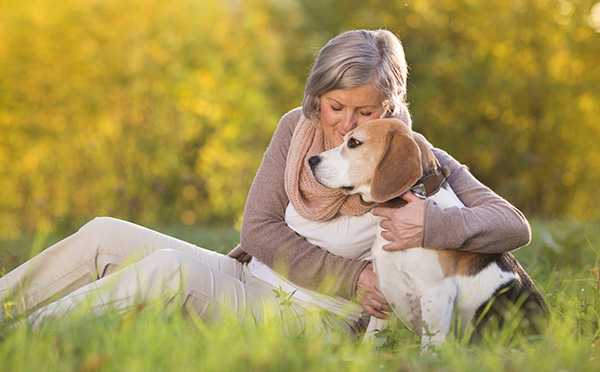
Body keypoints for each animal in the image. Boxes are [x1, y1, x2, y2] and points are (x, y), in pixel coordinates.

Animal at [310, 117, 548, 350]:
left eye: (354, 143)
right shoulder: (384, 293)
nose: (311, 160)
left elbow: (429, 346)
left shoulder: (437, 294)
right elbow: (371, 339)